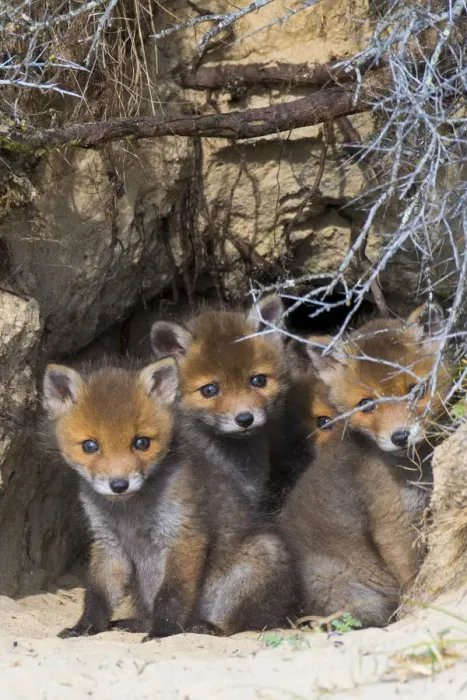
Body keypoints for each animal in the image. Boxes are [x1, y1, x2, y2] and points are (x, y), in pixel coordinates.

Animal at [42, 359, 293, 640]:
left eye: (141, 442)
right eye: (90, 446)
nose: (119, 485)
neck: (130, 513)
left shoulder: (184, 535)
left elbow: (171, 594)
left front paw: (162, 632)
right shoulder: (109, 543)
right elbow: (98, 595)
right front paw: (84, 628)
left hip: (258, 560)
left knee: (239, 624)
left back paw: (205, 626)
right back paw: (137, 623)